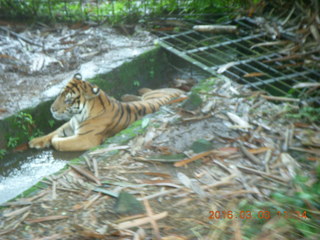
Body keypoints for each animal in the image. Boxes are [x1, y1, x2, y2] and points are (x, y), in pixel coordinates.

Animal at [28, 73, 184, 152]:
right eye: (60, 95)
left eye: (68, 101)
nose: (52, 109)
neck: (78, 116)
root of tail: (180, 91)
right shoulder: (69, 125)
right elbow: (53, 132)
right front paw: (34, 141)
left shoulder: (85, 139)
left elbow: (59, 142)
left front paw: (55, 141)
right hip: (151, 95)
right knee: (143, 94)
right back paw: (127, 95)